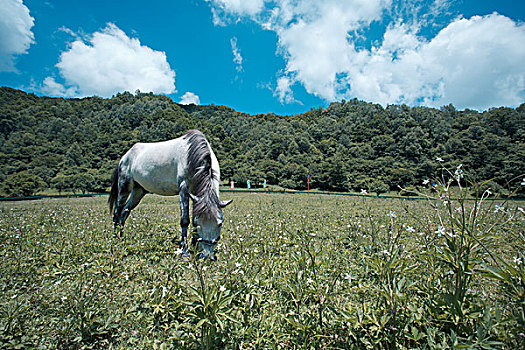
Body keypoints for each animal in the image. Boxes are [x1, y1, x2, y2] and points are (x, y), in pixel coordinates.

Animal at [108, 129, 231, 260]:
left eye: (220, 224)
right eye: (199, 224)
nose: (207, 256)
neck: (191, 154)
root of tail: (124, 157)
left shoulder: (195, 195)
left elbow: (193, 217)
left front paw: (194, 247)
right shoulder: (184, 188)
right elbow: (185, 220)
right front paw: (184, 251)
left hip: (138, 191)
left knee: (124, 212)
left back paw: (121, 238)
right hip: (124, 188)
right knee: (117, 212)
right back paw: (115, 240)